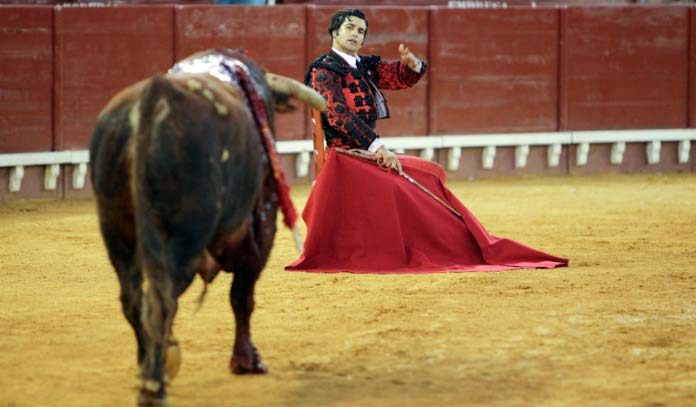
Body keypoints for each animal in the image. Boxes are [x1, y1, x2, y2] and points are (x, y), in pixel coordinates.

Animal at [88, 49, 324, 406]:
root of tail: (153, 101)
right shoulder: (260, 232)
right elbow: (242, 298)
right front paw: (247, 360)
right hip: (184, 237)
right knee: (164, 300)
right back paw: (155, 383)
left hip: (115, 230)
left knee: (133, 299)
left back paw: (149, 365)